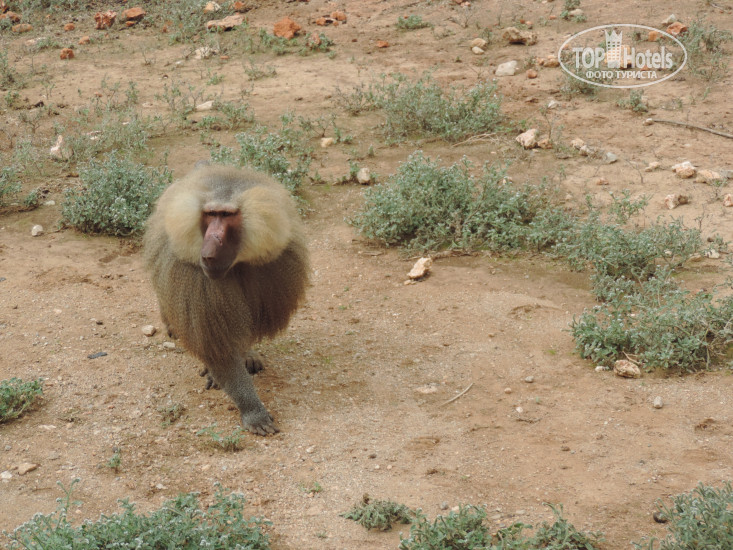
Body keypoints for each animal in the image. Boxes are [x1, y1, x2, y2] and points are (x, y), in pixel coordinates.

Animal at [143, 163, 309, 435]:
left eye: (227, 215)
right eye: (211, 215)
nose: (210, 249)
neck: (237, 264)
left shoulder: (273, 266)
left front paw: (246, 356)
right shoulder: (198, 280)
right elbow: (219, 350)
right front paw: (253, 411)